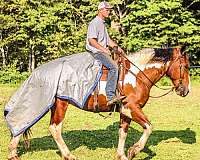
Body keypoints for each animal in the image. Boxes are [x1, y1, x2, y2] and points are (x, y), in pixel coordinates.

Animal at [7, 46, 191, 160]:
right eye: (186, 66)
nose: (186, 90)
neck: (137, 75)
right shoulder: (132, 107)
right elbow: (149, 127)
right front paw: (134, 150)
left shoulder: (125, 111)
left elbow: (122, 133)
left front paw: (122, 155)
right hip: (60, 104)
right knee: (53, 128)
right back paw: (68, 155)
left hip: (51, 105)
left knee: (24, 123)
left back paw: (13, 152)